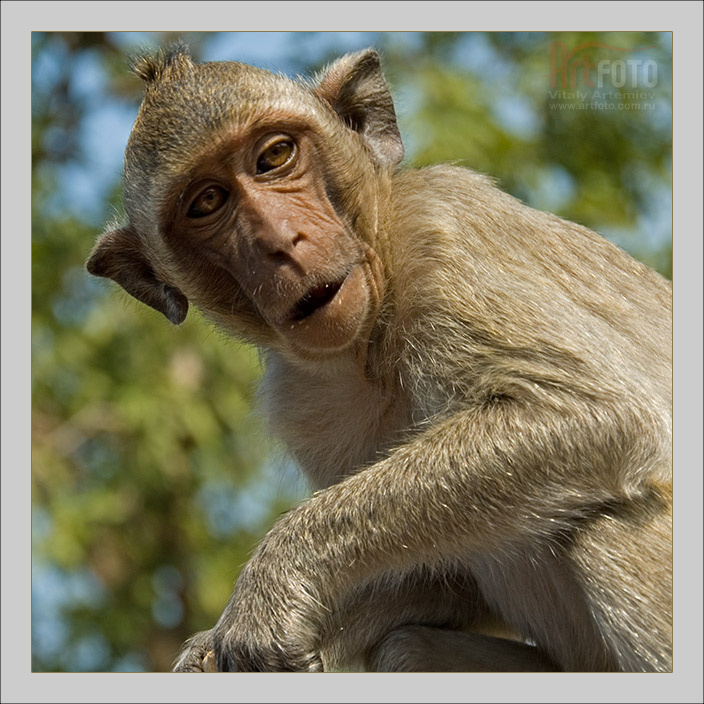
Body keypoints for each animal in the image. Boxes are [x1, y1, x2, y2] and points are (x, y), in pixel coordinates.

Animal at [86, 45, 672, 673]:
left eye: (274, 156)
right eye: (208, 202)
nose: (281, 241)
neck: (372, 339)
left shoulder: (445, 237)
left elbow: (589, 410)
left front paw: (271, 586)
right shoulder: (304, 408)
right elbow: (446, 580)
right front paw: (216, 646)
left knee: (604, 519)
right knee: (405, 645)